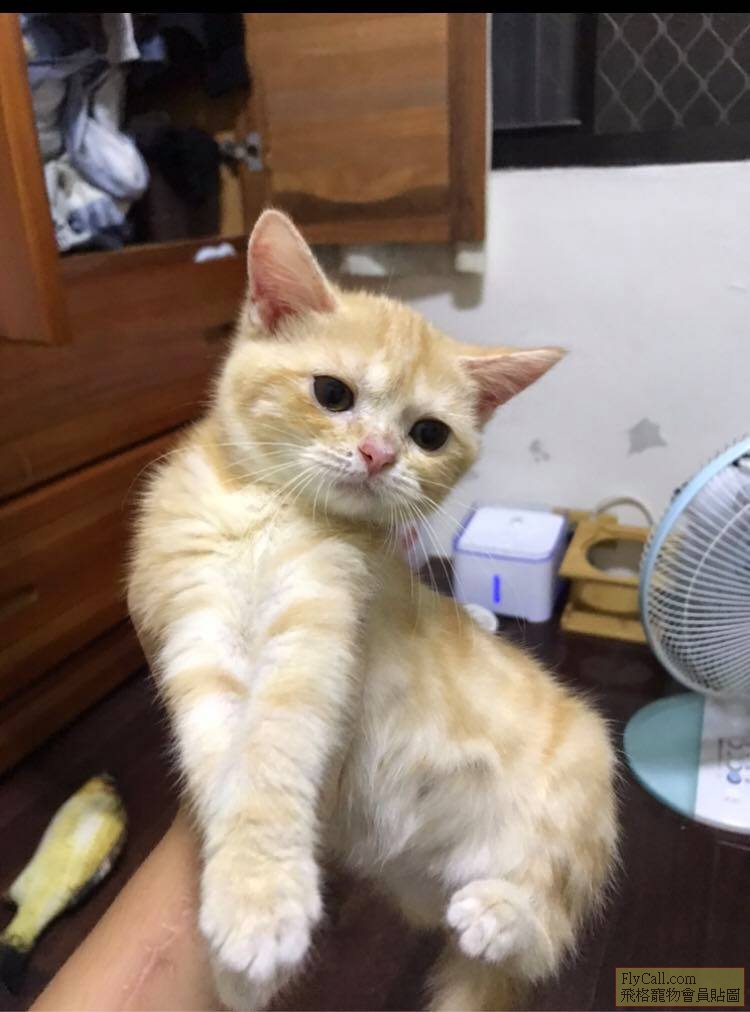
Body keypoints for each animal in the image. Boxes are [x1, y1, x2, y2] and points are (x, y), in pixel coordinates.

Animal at [128, 209, 617, 1011]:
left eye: (429, 434)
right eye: (331, 394)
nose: (378, 455)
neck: (267, 508)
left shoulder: (320, 631)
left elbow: (271, 748)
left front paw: (259, 900)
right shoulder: (194, 627)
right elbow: (219, 756)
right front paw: (242, 937)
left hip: (577, 799)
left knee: (543, 933)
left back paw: (502, 915)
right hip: (422, 888)